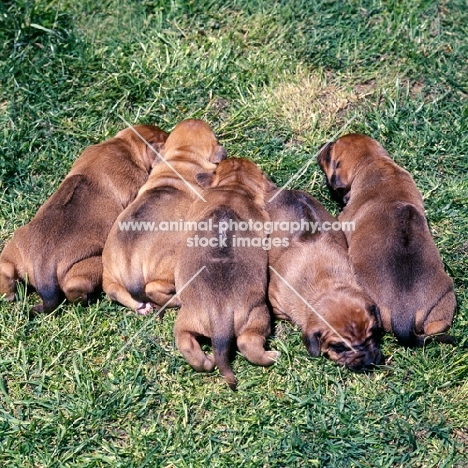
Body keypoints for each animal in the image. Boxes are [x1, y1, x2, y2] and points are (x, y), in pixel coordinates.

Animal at [0, 126, 169, 312]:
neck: (124, 146)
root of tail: (42, 269)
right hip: (91, 264)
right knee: (73, 288)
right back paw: (87, 299)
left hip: (11, 254)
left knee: (6, 273)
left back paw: (10, 295)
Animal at [102, 119, 227, 314]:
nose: (195, 119)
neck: (183, 157)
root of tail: (130, 269)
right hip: (169, 265)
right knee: (153, 288)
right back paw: (175, 299)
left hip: (110, 281)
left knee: (120, 294)